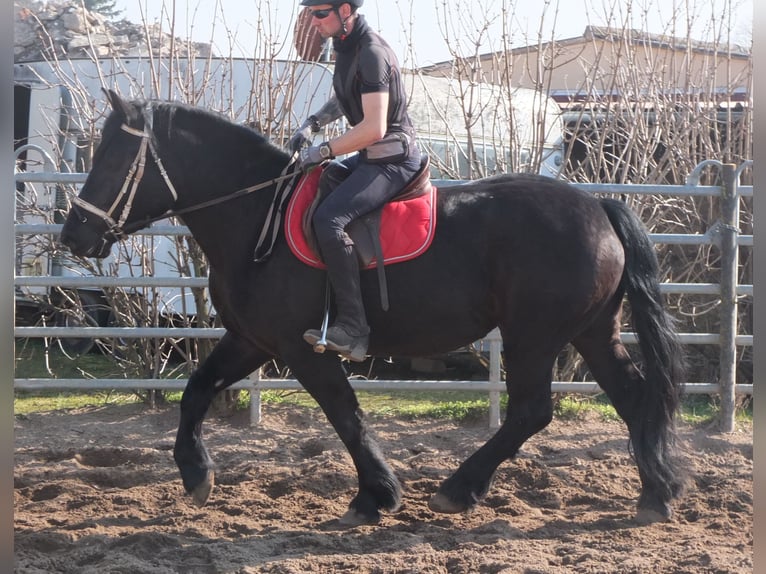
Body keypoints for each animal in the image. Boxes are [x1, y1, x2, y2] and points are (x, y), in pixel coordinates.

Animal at [57, 92, 688, 528]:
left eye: (113, 158)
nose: (73, 234)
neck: (258, 216)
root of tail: (599, 207)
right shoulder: (252, 340)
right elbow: (197, 390)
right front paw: (195, 474)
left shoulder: (303, 349)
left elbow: (345, 415)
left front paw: (376, 495)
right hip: (591, 331)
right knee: (632, 397)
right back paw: (655, 494)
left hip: (533, 336)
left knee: (532, 411)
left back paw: (460, 488)